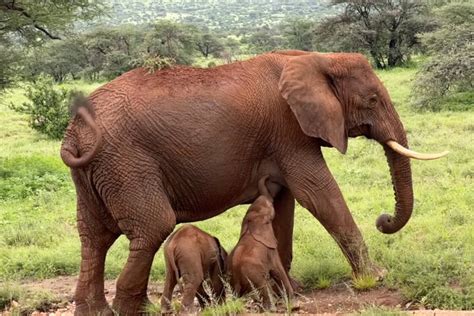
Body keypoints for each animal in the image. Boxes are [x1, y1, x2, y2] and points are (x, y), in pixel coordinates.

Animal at [229, 174, 292, 308]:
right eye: (270, 208)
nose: (268, 176)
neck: (251, 224)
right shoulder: (271, 249)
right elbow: (278, 270)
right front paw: (291, 298)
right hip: (255, 275)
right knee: (265, 287)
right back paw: (272, 307)